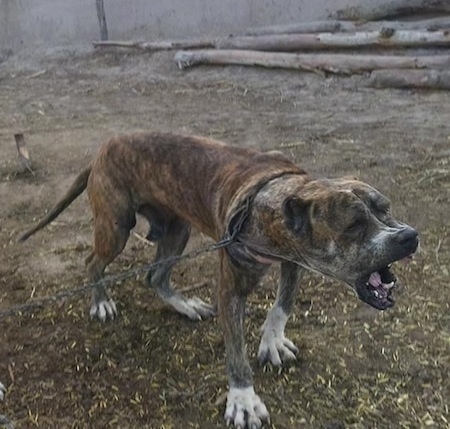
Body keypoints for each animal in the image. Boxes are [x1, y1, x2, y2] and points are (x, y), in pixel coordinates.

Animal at [18, 132, 418, 426]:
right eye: (354, 225)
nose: (409, 235)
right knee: (93, 262)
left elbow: (282, 306)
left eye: (386, 209)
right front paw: (243, 399)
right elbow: (236, 353)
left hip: (176, 231)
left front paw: (272, 341)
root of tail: (104, 148)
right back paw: (101, 301)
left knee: (155, 276)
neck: (268, 201)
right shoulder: (231, 290)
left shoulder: (294, 262)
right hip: (116, 227)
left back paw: (185, 306)